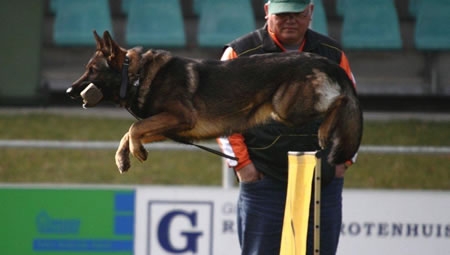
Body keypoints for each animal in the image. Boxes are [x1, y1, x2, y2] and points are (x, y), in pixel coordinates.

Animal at [66, 30, 362, 172]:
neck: (135, 75)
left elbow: (133, 128)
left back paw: (325, 130)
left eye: (92, 70)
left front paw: (135, 152)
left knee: (340, 102)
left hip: (285, 108)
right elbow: (129, 133)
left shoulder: (180, 117)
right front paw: (123, 158)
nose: (69, 91)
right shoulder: (169, 127)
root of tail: (323, 60)